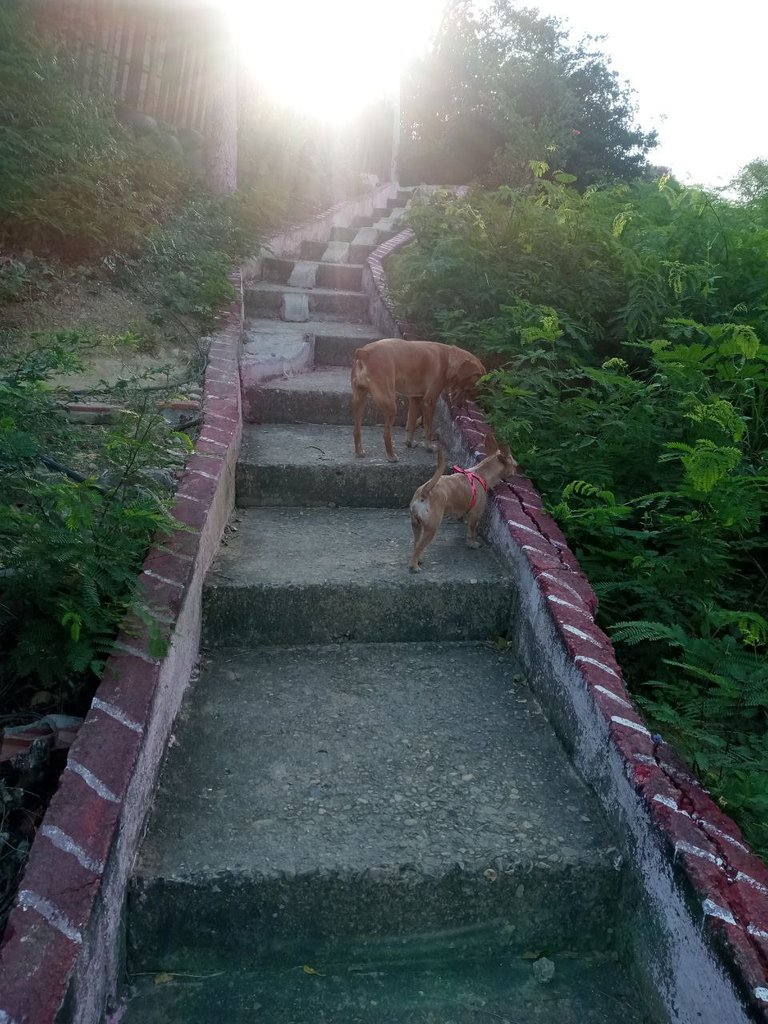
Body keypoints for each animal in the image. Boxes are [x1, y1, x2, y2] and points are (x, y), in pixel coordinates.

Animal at [350, 337, 483, 462]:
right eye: (469, 388)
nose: (460, 406)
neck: (448, 360)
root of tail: (364, 352)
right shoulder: (429, 402)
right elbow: (428, 429)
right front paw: (429, 447)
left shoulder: (415, 399)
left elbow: (411, 423)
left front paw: (410, 442)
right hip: (390, 406)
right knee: (386, 434)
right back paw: (391, 456)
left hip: (359, 400)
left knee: (356, 430)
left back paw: (359, 451)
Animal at [409, 434, 518, 573]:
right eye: (514, 465)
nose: (517, 471)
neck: (480, 473)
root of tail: (425, 491)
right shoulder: (475, 514)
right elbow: (471, 531)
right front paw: (472, 543)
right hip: (431, 527)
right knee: (419, 546)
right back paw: (414, 565)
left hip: (416, 525)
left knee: (416, 543)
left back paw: (419, 559)